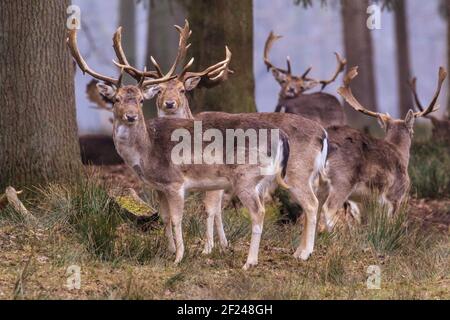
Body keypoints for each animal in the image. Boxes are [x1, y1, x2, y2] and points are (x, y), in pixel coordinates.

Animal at [67, 27, 296, 268]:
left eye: (140, 100)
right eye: (117, 99)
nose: (131, 116)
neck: (145, 152)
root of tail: (281, 135)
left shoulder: (175, 182)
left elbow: (178, 219)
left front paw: (179, 256)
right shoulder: (158, 186)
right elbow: (165, 217)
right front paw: (168, 251)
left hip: (246, 176)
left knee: (258, 211)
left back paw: (249, 262)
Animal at [114, 20, 328, 262]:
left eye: (182, 90)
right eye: (159, 90)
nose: (169, 103)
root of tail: (322, 134)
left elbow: (210, 209)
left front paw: (209, 248)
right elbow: (213, 211)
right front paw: (223, 245)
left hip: (297, 172)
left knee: (311, 204)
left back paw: (303, 253)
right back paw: (299, 251)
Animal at [320, 66, 446, 230]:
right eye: (412, 131)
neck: (400, 153)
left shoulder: (361, 202)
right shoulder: (396, 194)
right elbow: (389, 222)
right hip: (342, 180)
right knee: (328, 209)